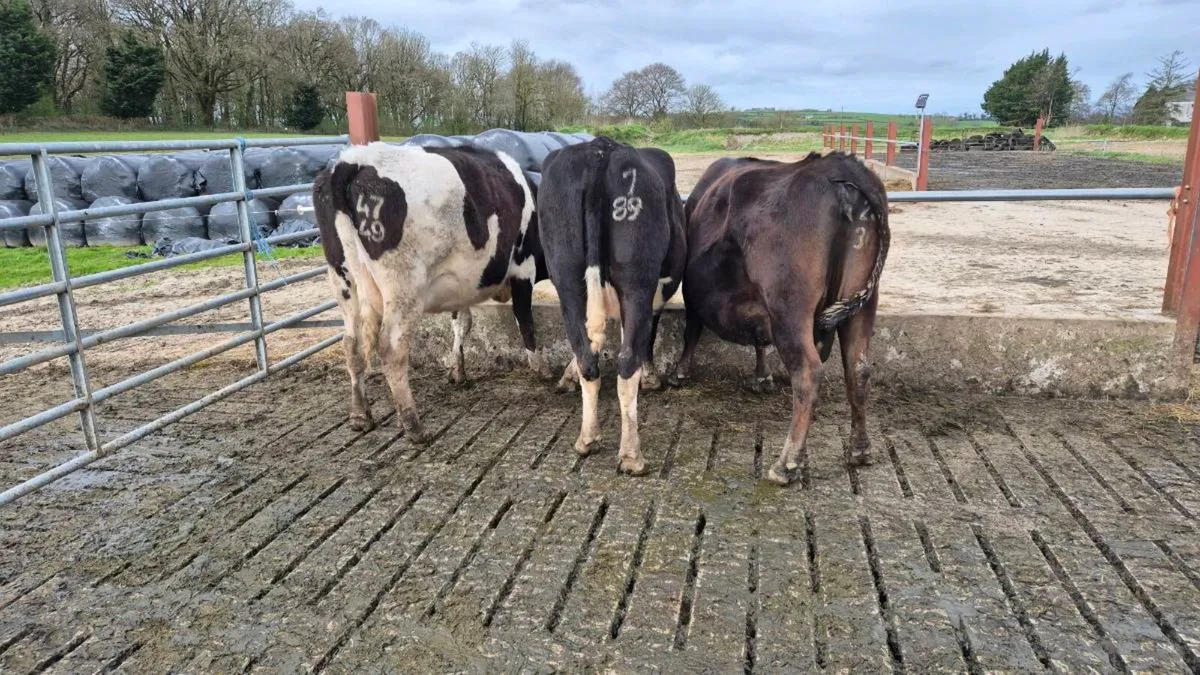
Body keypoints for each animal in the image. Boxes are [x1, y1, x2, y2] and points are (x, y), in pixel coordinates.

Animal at [313, 141, 550, 441]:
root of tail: (350, 161)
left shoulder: (462, 283)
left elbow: (462, 324)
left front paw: (457, 370)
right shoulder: (523, 266)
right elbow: (525, 319)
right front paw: (541, 368)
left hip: (343, 284)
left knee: (351, 345)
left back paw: (360, 416)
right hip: (403, 289)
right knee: (390, 349)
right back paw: (414, 426)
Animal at [537, 136, 686, 475]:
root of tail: (599, 149)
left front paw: (565, 377)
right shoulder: (657, 291)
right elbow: (647, 336)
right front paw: (650, 377)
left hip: (566, 276)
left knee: (586, 355)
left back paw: (587, 439)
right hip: (637, 280)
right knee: (626, 360)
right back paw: (631, 455)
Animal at [666, 151, 890, 486]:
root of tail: (839, 166)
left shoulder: (693, 291)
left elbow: (692, 329)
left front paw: (680, 372)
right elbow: (760, 338)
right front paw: (762, 376)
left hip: (790, 304)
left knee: (808, 373)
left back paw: (786, 464)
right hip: (863, 305)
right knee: (858, 370)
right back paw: (860, 450)